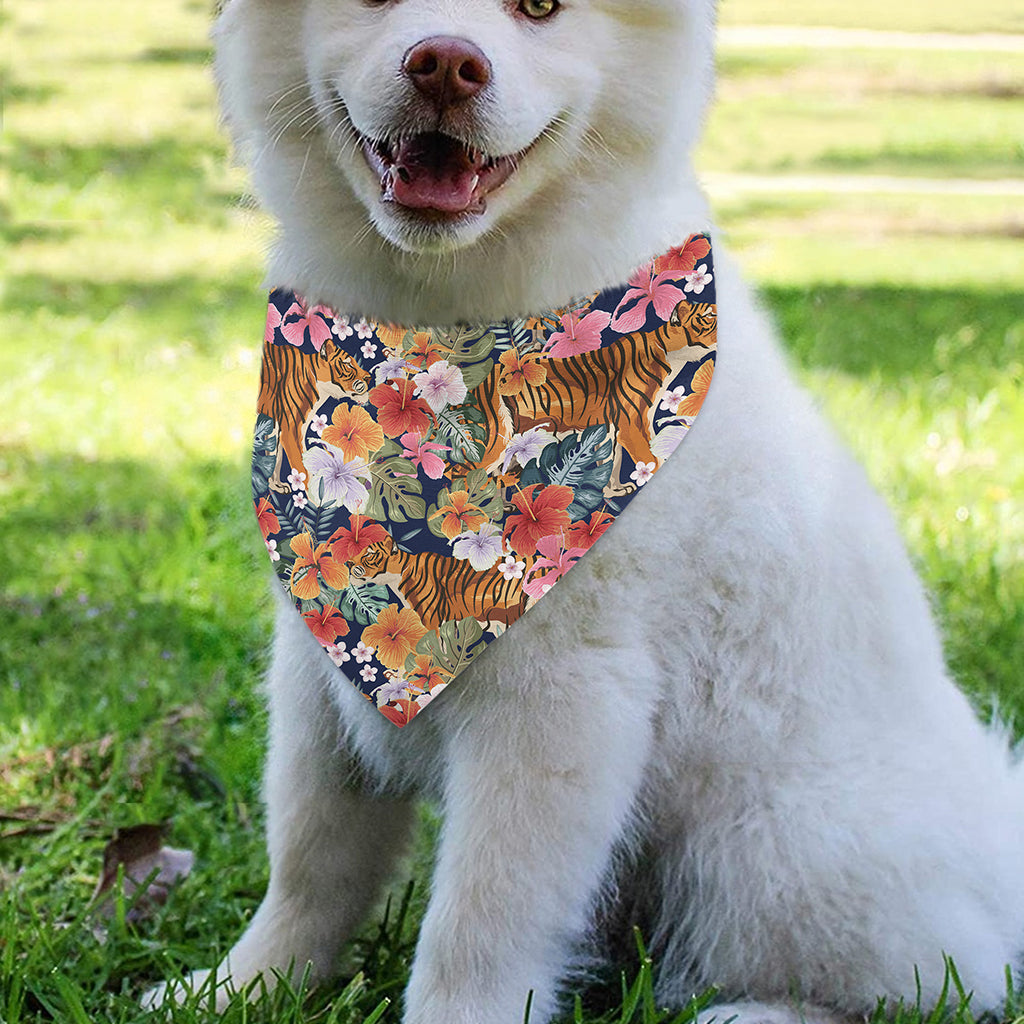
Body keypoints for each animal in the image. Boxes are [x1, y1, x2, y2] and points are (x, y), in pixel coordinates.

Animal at [257, 337, 371, 492]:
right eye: (348, 364)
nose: (369, 378)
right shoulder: (291, 430)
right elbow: (303, 470)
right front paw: (316, 495)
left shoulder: (276, 425)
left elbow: (275, 455)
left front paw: (276, 485)